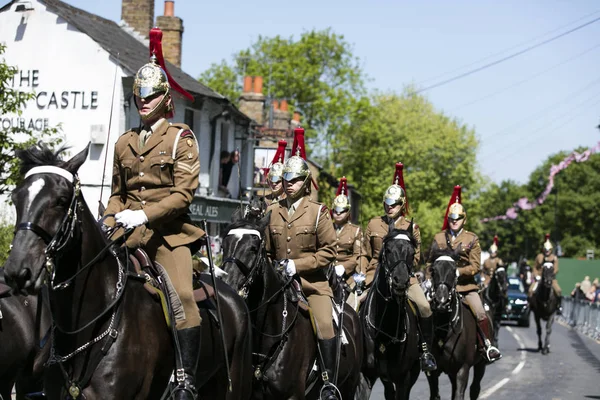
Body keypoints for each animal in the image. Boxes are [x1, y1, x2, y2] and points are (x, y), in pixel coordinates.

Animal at [426, 247, 488, 400]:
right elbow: (435, 394)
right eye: (433, 270)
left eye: (454, 270)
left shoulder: (463, 368)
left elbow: (460, 394)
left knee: (475, 388)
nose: (441, 302)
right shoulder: (432, 371)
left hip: (480, 364)